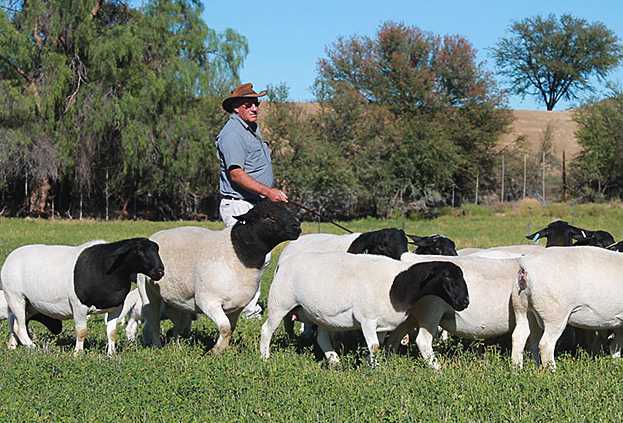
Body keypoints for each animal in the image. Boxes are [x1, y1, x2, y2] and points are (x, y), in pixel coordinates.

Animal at [3, 238, 163, 354]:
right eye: (139, 250)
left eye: (157, 250)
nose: (160, 271)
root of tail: (11, 257)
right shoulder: (78, 306)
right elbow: (82, 332)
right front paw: (78, 353)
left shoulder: (116, 308)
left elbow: (112, 332)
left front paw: (112, 354)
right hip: (15, 297)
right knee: (20, 327)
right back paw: (34, 347)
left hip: (29, 305)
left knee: (14, 324)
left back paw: (12, 346)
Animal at [140, 200, 302, 352]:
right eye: (267, 216)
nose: (296, 226)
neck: (237, 254)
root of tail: (157, 234)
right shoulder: (208, 301)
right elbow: (225, 327)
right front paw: (214, 352)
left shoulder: (237, 307)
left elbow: (230, 329)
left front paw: (220, 350)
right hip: (148, 293)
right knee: (153, 323)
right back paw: (158, 347)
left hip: (175, 297)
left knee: (177, 323)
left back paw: (176, 345)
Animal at [258, 252, 468, 364]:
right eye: (447, 277)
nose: (465, 302)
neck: (397, 286)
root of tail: (284, 262)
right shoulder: (367, 319)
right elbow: (374, 347)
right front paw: (376, 369)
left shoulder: (381, 325)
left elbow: (379, 346)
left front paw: (374, 364)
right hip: (279, 303)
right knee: (266, 330)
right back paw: (265, 358)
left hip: (319, 315)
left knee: (321, 338)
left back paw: (335, 361)